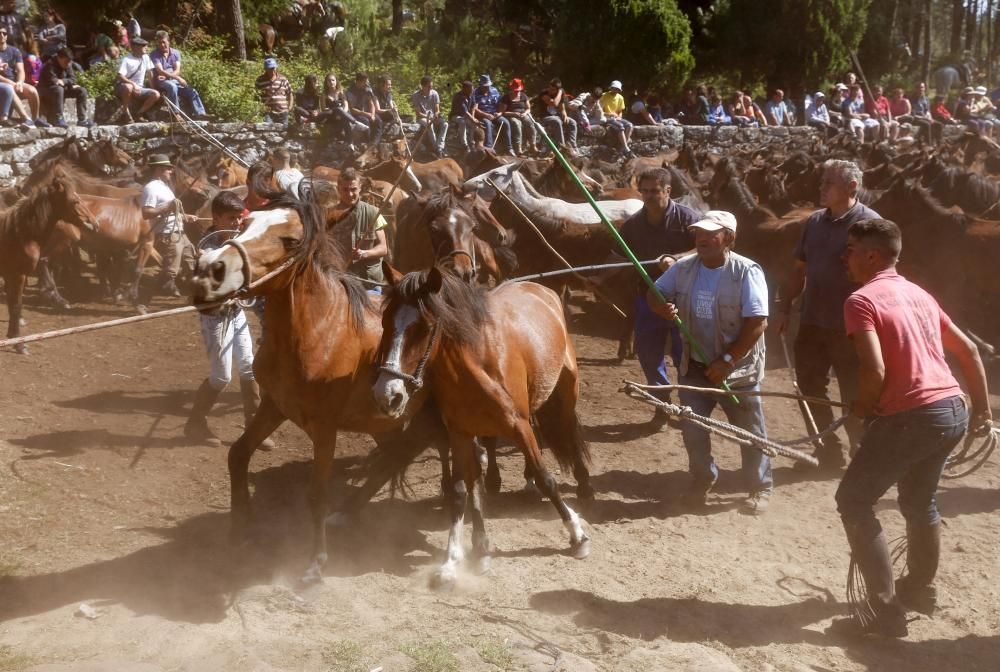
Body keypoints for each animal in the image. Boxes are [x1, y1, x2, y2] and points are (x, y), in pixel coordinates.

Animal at [0, 167, 97, 354]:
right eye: (74, 201)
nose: (94, 224)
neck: (20, 234)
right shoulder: (17, 275)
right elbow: (16, 306)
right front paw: (19, 344)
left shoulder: (13, 276)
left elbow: (14, 304)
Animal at [187, 188, 450, 584]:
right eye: (245, 224)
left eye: (291, 240)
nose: (208, 273)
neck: (320, 333)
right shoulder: (274, 406)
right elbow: (238, 454)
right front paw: (239, 529)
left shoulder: (325, 427)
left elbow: (317, 492)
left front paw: (315, 563)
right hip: (387, 421)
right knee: (395, 456)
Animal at [374, 268, 592, 588]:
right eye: (385, 321)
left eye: (423, 328)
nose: (387, 394)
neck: (475, 367)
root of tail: (541, 288)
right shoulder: (460, 434)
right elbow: (460, 491)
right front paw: (452, 562)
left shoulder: (518, 425)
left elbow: (547, 478)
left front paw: (577, 534)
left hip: (565, 393)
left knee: (568, 434)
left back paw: (584, 485)